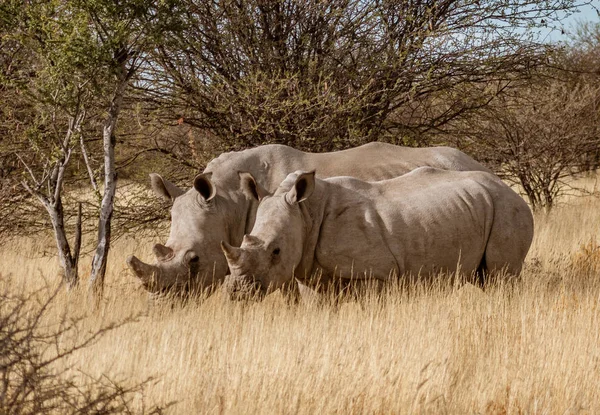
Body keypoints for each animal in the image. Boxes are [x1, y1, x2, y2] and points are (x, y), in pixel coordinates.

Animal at [221, 167, 536, 298]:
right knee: (485, 277)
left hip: (508, 209)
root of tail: (511, 191)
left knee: (501, 276)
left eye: (276, 251)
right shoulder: (313, 274)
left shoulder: (376, 274)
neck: (305, 212)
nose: (238, 293)